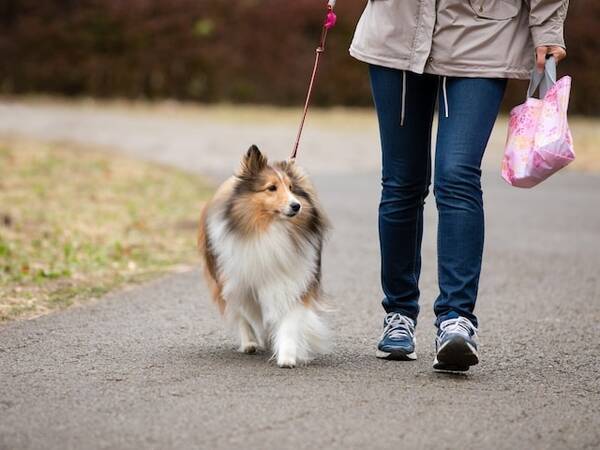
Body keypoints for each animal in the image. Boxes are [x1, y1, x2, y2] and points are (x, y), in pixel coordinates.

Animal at [198, 146, 330, 368]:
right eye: (271, 188)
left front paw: (287, 356)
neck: (270, 229)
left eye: (291, 187)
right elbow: (247, 314)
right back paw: (250, 343)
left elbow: (289, 321)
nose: (296, 206)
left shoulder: (294, 280)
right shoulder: (238, 282)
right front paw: (258, 338)